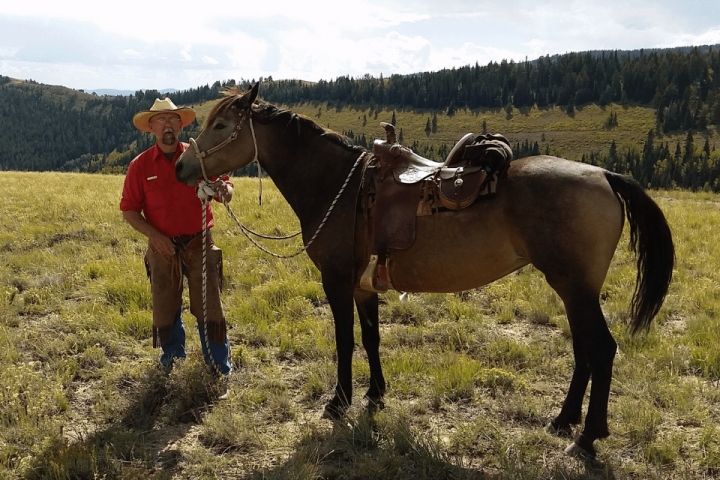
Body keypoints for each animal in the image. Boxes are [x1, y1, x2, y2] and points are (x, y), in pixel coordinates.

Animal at [174, 84, 676, 460]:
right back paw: (563, 419)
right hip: (572, 289)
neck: (338, 187)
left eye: (221, 125)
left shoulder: (336, 281)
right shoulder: (363, 286)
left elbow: (344, 341)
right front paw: (375, 395)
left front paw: (339, 403)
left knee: (601, 350)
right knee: (584, 351)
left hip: (576, 287)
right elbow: (372, 338)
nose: (181, 165)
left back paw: (587, 437)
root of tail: (606, 175)